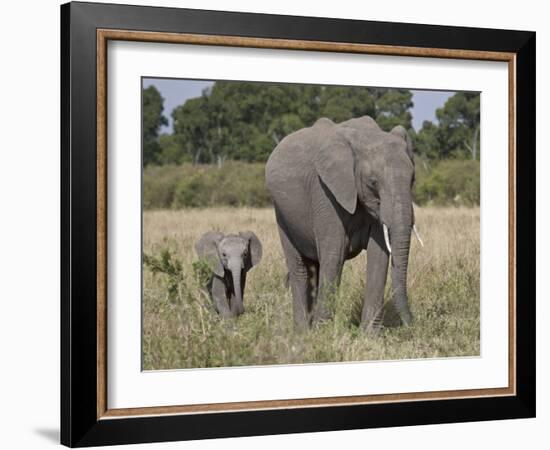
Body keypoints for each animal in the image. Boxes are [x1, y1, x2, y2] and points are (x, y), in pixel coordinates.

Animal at [266, 115, 424, 334]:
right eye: (373, 182)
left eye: (413, 179)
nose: (412, 325)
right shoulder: (325, 192)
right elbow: (335, 253)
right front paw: (322, 334)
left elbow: (379, 256)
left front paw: (369, 335)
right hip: (282, 214)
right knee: (300, 268)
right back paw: (302, 333)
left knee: (315, 268)